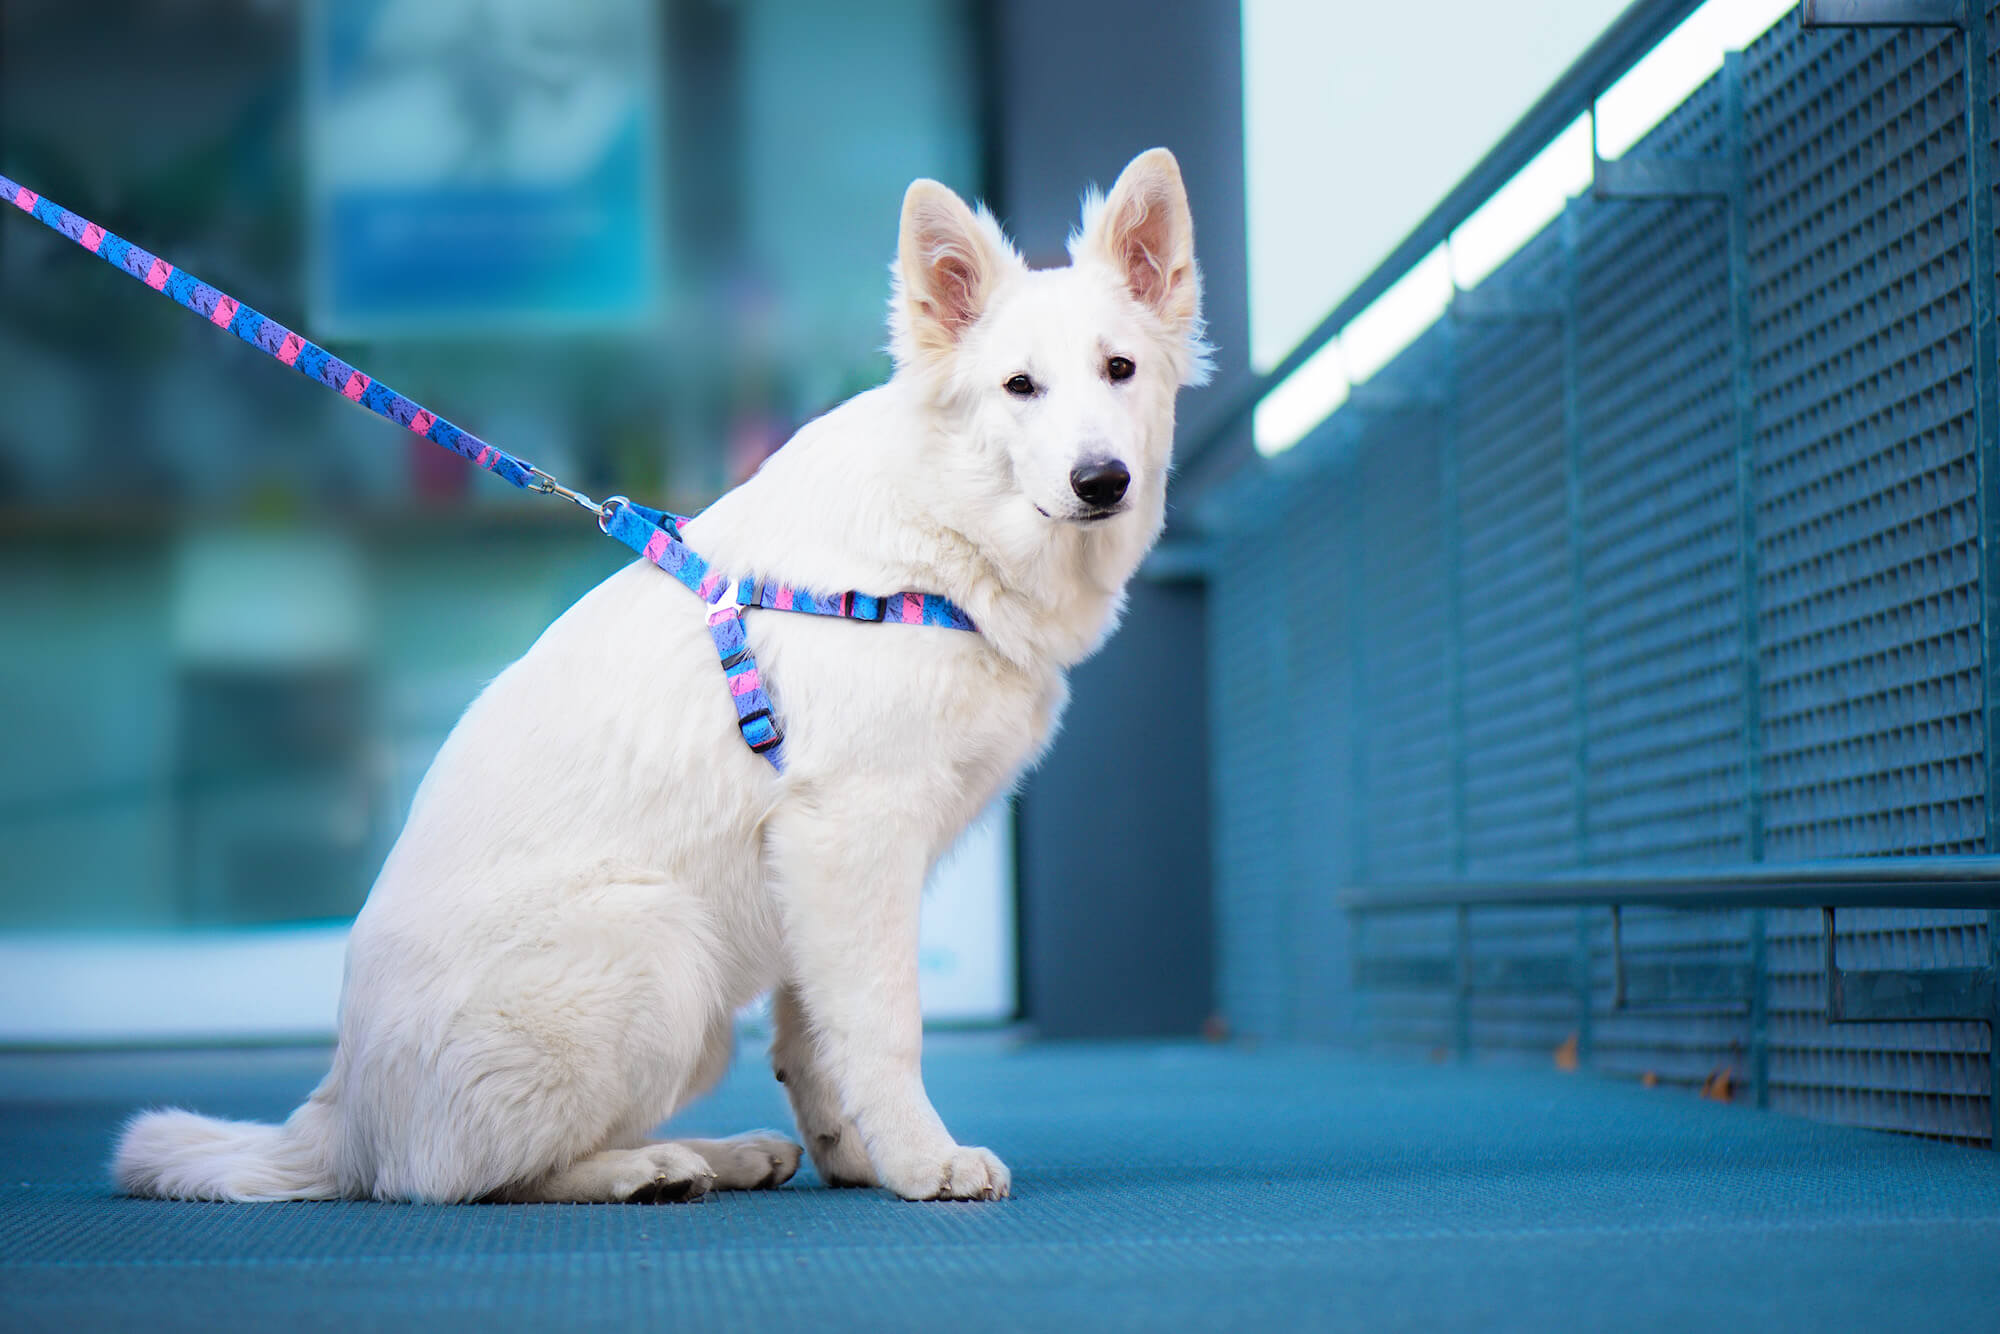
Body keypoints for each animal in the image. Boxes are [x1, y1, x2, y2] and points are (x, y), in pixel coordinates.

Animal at [117, 149, 1208, 1208]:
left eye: (1119, 369)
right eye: (1020, 387)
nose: (1100, 481)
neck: (932, 549)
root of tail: (339, 1115)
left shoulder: (813, 871)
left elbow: (814, 1037)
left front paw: (855, 1154)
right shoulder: (853, 838)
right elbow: (882, 1026)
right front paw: (921, 1162)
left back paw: (719, 1153)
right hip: (663, 943)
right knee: (457, 1179)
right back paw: (647, 1168)